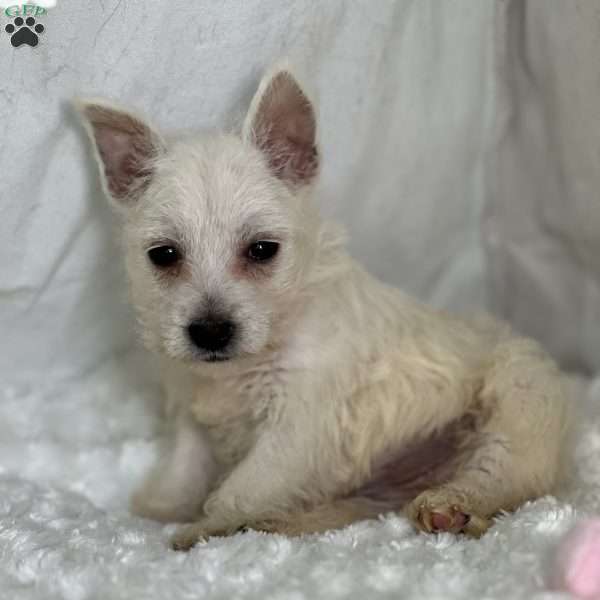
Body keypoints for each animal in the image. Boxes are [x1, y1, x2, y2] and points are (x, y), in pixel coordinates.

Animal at [76, 64, 572, 548]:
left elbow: (244, 486)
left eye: (262, 250)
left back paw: (449, 505)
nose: (211, 332)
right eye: (163, 255)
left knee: (499, 474)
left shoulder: (300, 423)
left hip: (518, 403)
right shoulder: (192, 404)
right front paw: (162, 506)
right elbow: (187, 461)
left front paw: (202, 528)